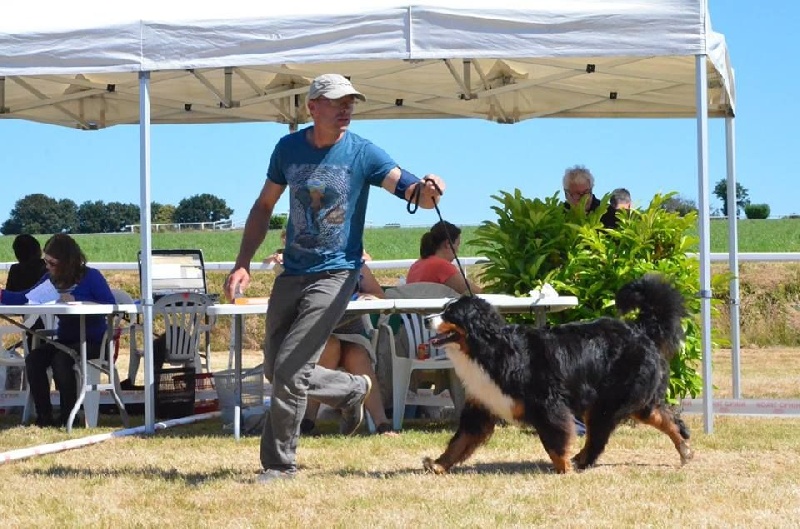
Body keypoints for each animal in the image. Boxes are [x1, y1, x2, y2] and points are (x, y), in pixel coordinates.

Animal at [424, 274, 692, 472]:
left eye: (450, 314)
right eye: (443, 309)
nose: (427, 318)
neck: (488, 349)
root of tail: (639, 329)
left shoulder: (547, 404)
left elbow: (554, 440)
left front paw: (563, 468)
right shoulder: (483, 402)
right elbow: (460, 441)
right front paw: (438, 464)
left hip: (609, 402)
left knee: (598, 437)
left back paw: (579, 461)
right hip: (631, 401)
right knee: (667, 419)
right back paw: (685, 450)